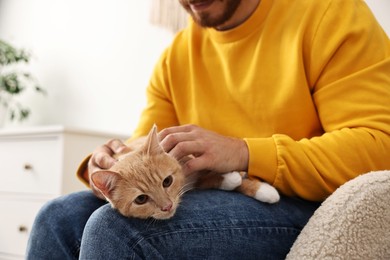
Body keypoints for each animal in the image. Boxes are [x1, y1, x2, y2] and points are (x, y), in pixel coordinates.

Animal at [90, 126, 278, 219]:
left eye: (167, 181)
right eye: (141, 199)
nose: (167, 206)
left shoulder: (198, 158)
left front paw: (262, 189)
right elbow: (209, 181)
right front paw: (230, 179)